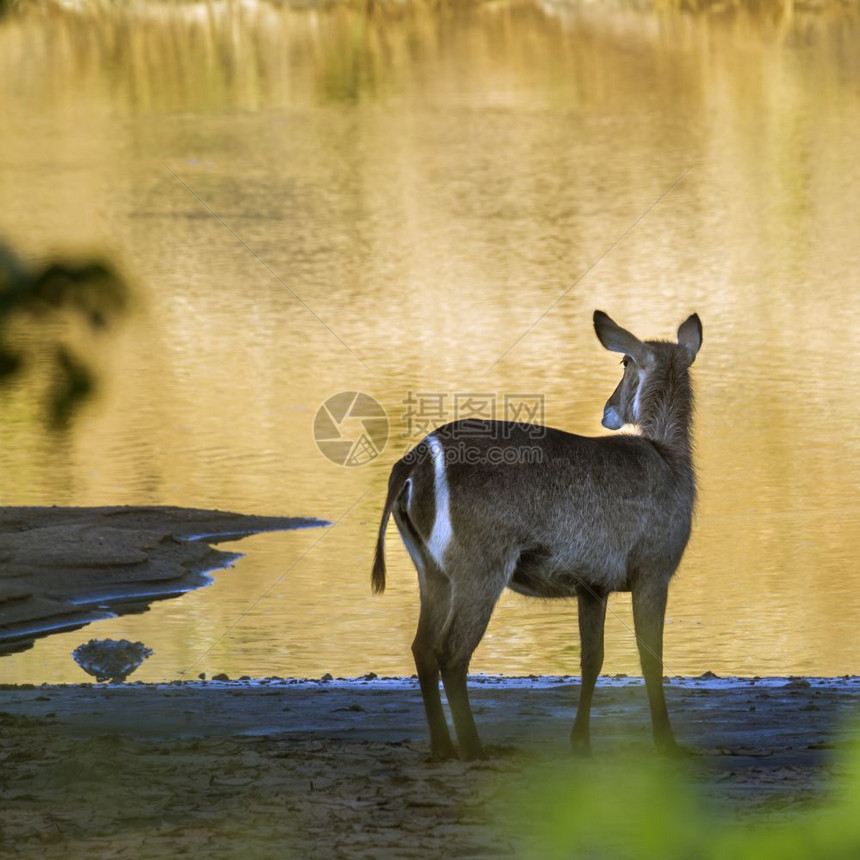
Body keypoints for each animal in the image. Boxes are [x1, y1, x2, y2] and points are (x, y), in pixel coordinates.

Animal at [372, 310, 704, 760]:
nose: (607, 410)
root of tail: (412, 463)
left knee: (422, 649)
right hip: (480, 570)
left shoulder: (593, 586)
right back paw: (475, 748)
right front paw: (667, 743)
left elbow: (591, 659)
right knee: (452, 654)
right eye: (624, 360)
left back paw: (443, 747)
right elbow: (650, 657)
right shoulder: (654, 571)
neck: (669, 458)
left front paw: (580, 740)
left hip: (431, 570)